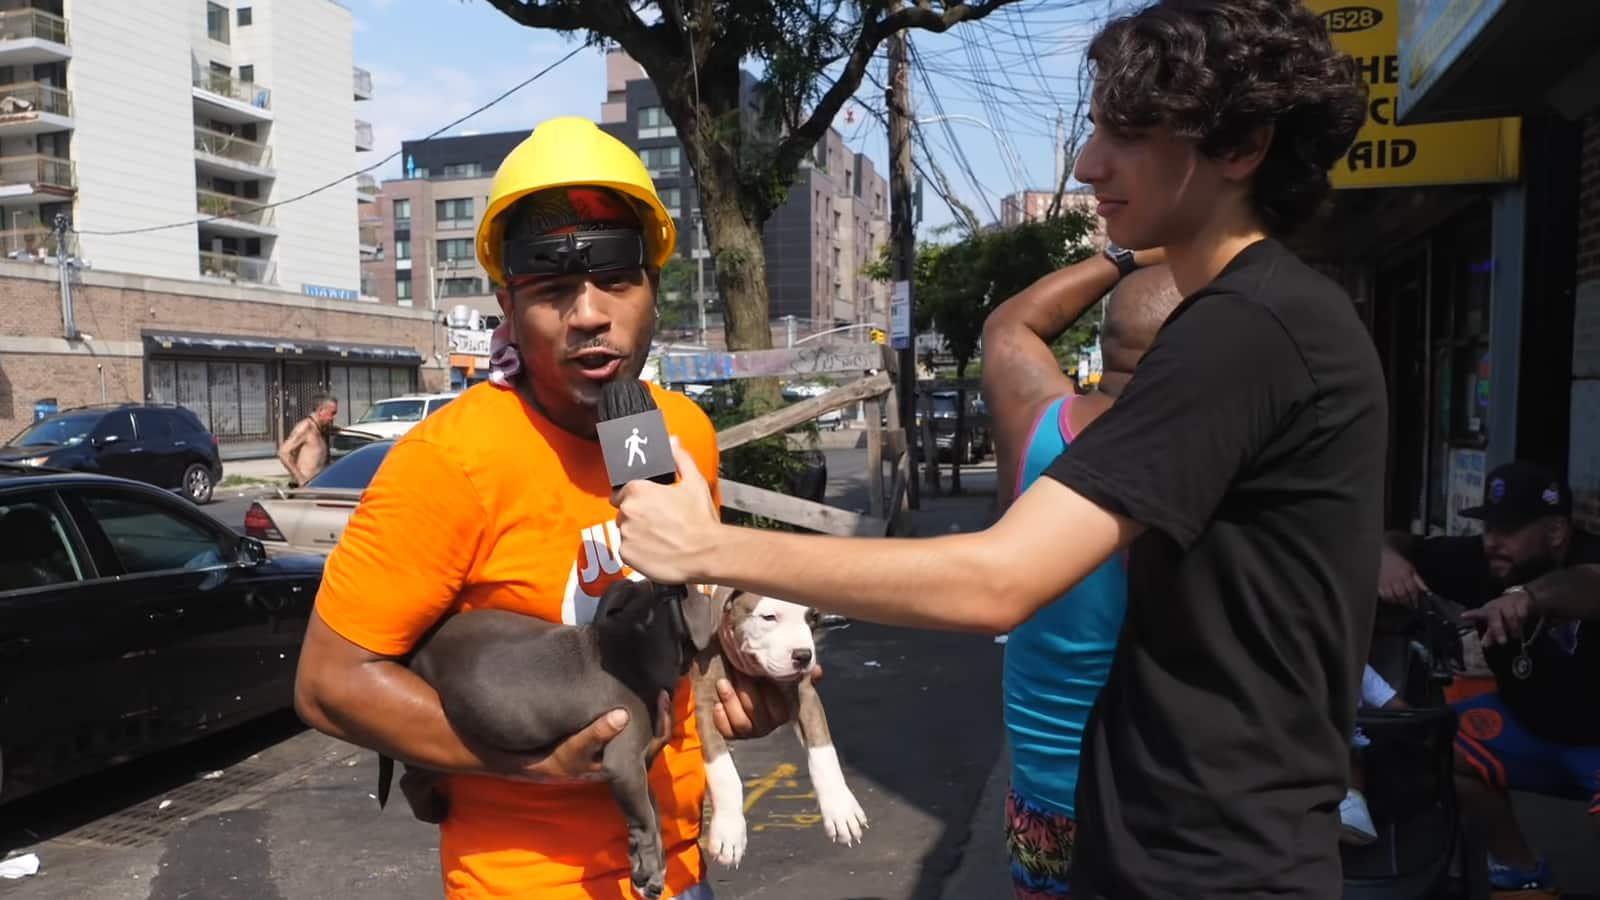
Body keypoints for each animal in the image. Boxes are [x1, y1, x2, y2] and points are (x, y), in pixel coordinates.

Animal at [377, 576, 716, 890]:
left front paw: (645, 864)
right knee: (410, 778)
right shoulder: (624, 761)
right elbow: (645, 816)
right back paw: (432, 806)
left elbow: (652, 809)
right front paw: (652, 869)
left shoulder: (638, 765)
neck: (637, 641)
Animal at [688, 586, 864, 864]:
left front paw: (841, 809)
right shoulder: (702, 705)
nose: (803, 656)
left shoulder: (804, 693)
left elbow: (824, 753)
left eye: (813, 617)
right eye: (769, 617)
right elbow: (725, 772)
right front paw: (729, 832)